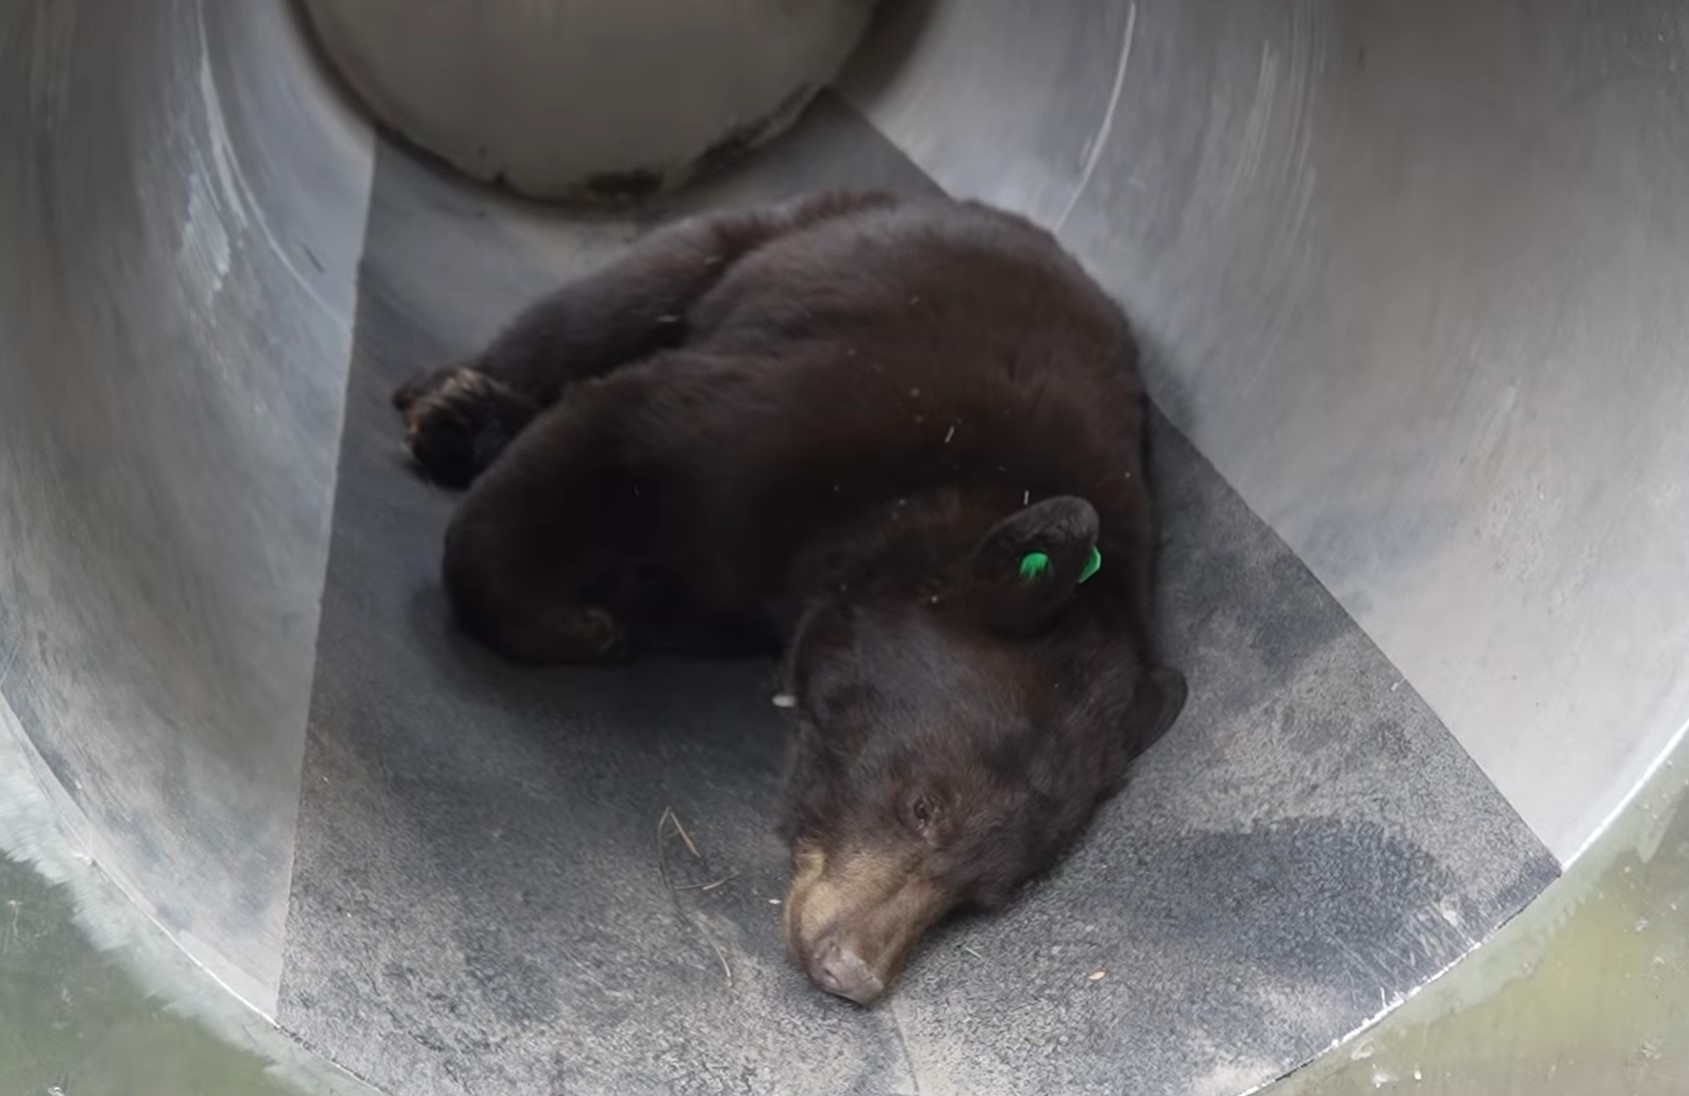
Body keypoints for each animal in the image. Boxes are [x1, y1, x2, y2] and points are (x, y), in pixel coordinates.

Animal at [393, 190, 1187, 1004]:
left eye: (989, 893)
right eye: (923, 806)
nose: (854, 971)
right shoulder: (800, 414)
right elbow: (615, 429)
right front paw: (574, 624)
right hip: (746, 245)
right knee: (589, 315)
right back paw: (451, 406)